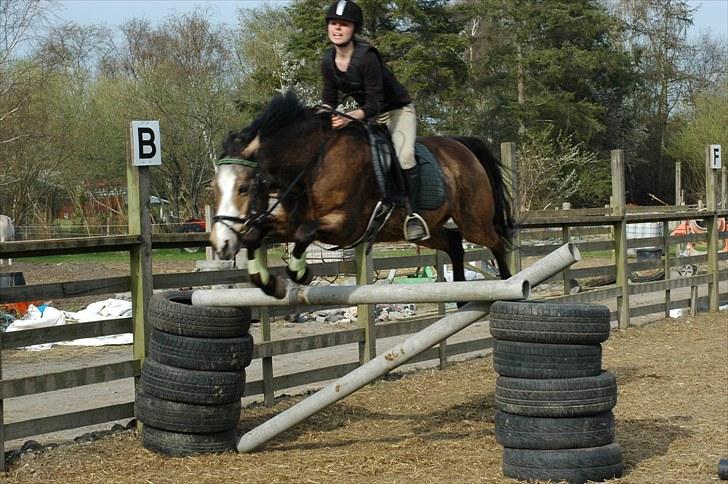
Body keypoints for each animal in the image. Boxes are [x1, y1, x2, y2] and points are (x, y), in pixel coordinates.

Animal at [213, 89, 516, 296]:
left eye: (244, 188)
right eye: (215, 187)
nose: (221, 244)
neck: (312, 163)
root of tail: (462, 146)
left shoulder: (346, 226)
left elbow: (304, 233)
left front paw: (300, 274)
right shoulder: (290, 220)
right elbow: (257, 235)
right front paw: (267, 282)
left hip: (474, 222)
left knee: (497, 242)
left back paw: (508, 284)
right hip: (429, 230)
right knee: (454, 243)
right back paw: (462, 297)